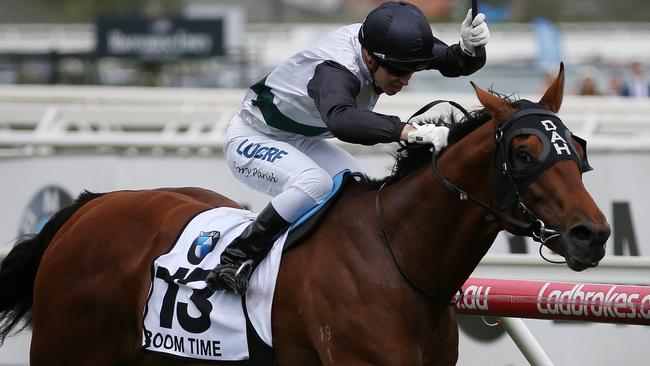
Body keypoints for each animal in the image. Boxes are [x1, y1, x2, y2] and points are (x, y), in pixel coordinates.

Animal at [0, 64, 608, 364]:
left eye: (576, 147)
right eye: (524, 152)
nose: (593, 234)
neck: (397, 258)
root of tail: (89, 208)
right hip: (67, 350)